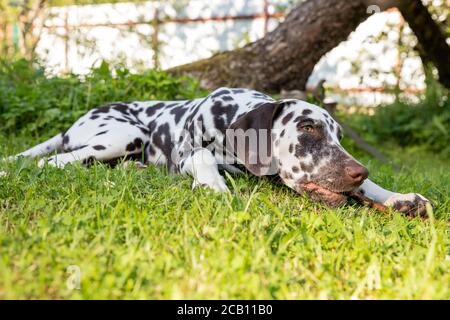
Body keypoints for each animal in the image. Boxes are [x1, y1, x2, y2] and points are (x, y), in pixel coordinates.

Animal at [7, 87, 428, 216]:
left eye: (339, 136)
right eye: (308, 128)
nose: (359, 171)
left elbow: (370, 192)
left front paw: (398, 197)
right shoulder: (191, 151)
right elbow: (203, 157)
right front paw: (213, 186)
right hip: (123, 134)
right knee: (55, 161)